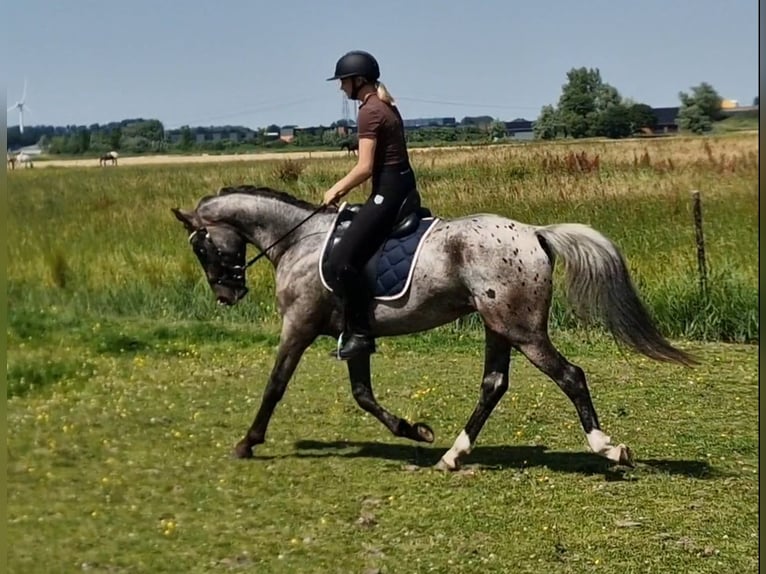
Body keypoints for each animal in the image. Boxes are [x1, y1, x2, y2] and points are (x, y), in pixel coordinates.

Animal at [172, 186, 696, 472]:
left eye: (199, 246)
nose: (227, 295)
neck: (300, 240)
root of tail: (534, 233)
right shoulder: (354, 336)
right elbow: (362, 394)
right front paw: (415, 430)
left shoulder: (298, 325)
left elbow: (276, 385)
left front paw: (247, 442)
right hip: (497, 327)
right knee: (493, 384)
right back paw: (453, 454)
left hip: (521, 329)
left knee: (571, 376)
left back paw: (608, 448)